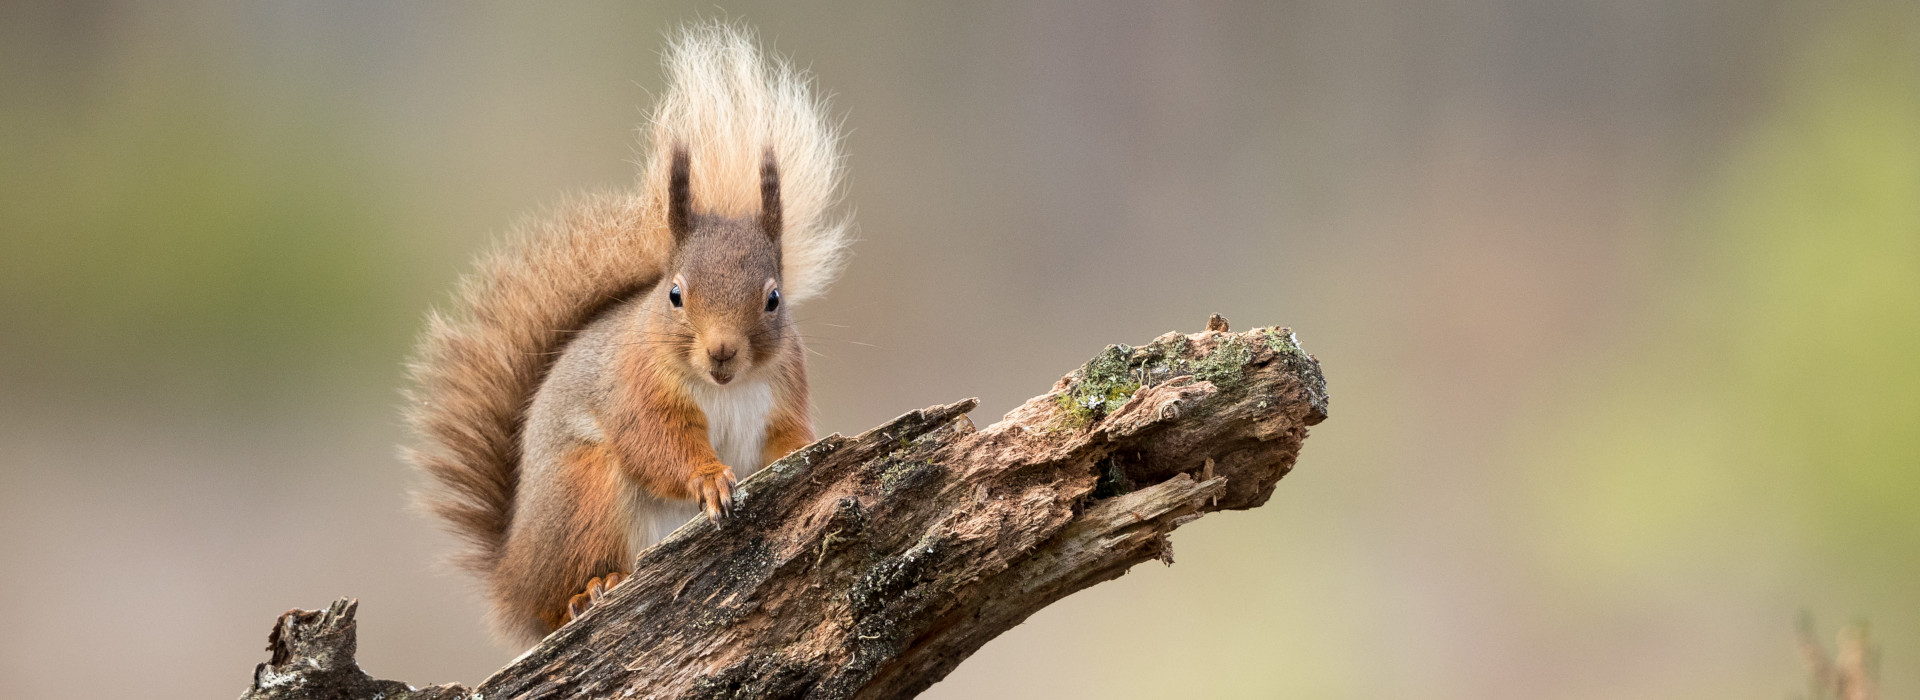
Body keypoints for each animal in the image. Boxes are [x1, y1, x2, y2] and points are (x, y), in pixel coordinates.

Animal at [403, 23, 850, 645]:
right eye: (675, 294)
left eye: (774, 299)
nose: (722, 352)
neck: (724, 388)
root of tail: (511, 578)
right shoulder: (638, 390)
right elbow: (656, 444)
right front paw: (710, 480)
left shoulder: (784, 393)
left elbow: (788, 440)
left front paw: (815, 458)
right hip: (586, 493)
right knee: (560, 596)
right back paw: (591, 591)